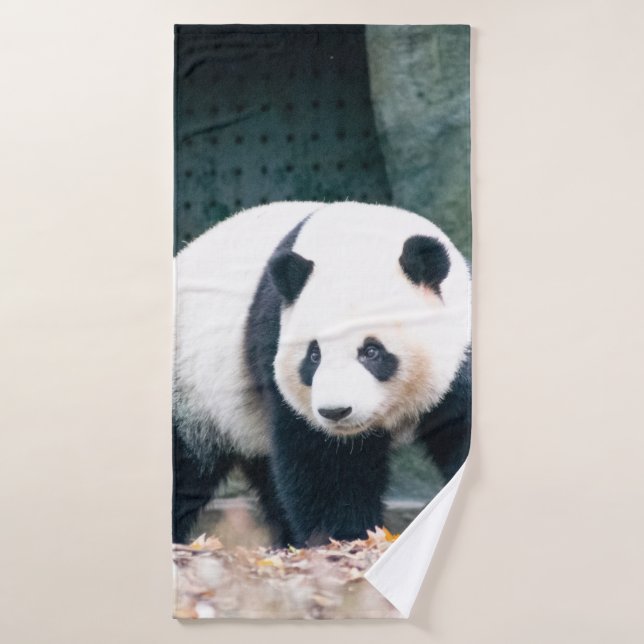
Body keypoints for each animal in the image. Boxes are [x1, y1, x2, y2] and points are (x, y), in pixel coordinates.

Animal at [173, 201, 471, 547]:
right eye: (313, 355)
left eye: (372, 351)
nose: (336, 411)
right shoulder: (274, 339)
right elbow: (326, 463)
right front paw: (347, 537)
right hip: (191, 392)